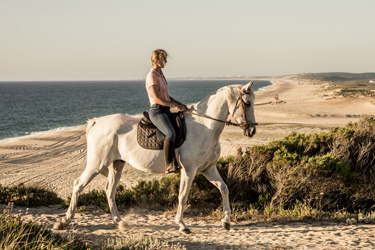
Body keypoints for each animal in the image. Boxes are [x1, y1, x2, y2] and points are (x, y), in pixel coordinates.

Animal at [54, 81, 258, 232]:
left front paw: (226, 221)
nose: (252, 130)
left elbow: (224, 188)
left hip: (117, 164)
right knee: (78, 185)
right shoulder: (189, 170)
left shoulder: (208, 168)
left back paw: (120, 222)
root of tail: (97, 122)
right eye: (247, 103)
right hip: (96, 164)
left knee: (109, 190)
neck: (205, 127)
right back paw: (64, 221)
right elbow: (183, 196)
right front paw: (182, 225)